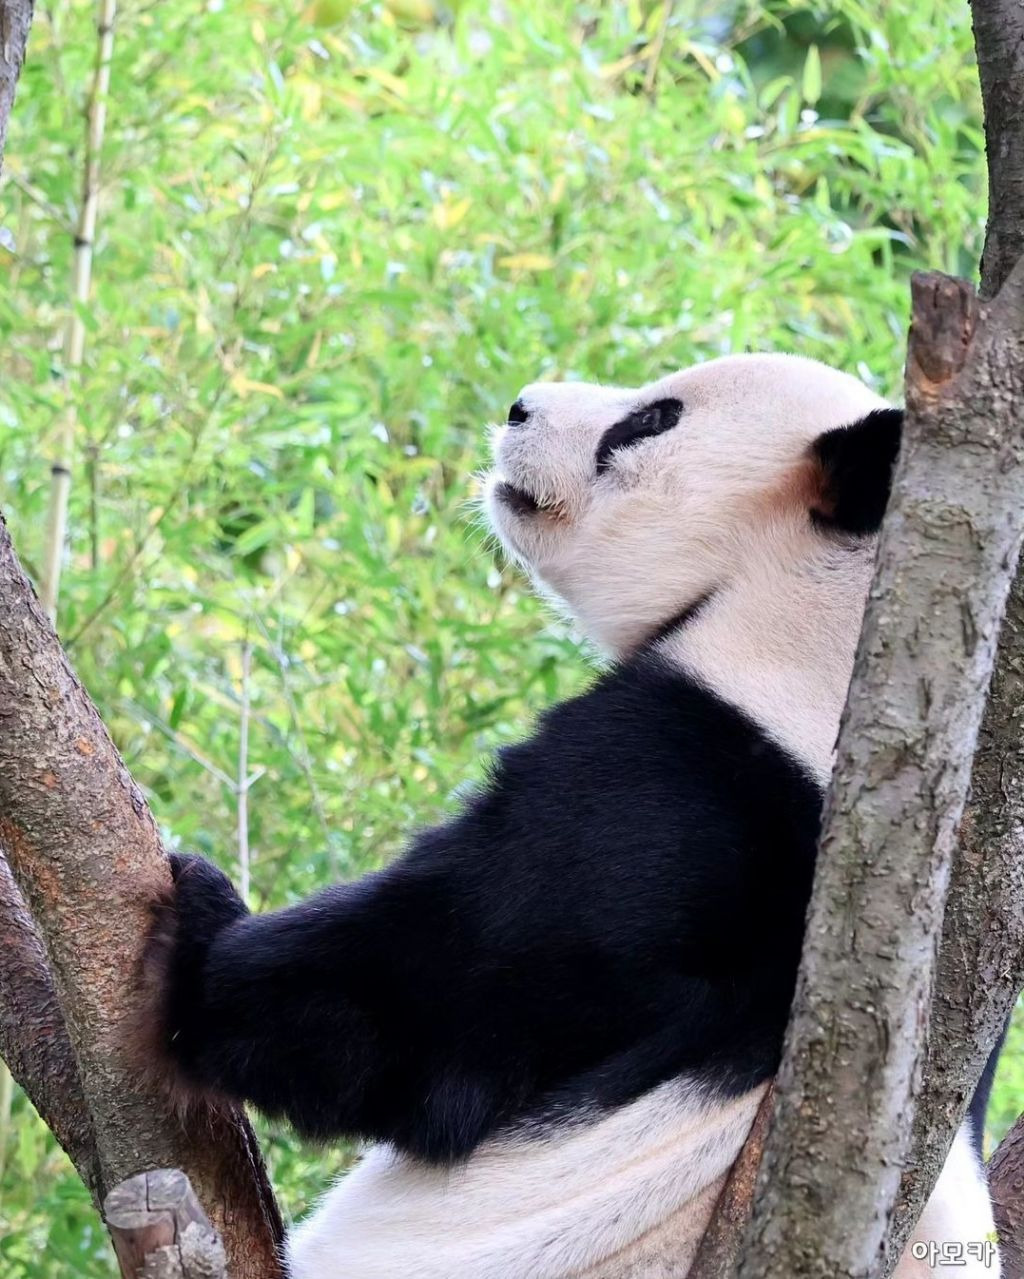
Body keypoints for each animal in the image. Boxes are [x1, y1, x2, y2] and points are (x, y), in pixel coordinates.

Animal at [151, 353, 1000, 1279]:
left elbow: (428, 989)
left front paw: (199, 922)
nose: (518, 407)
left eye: (652, 419)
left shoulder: (687, 773)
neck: (826, 616)